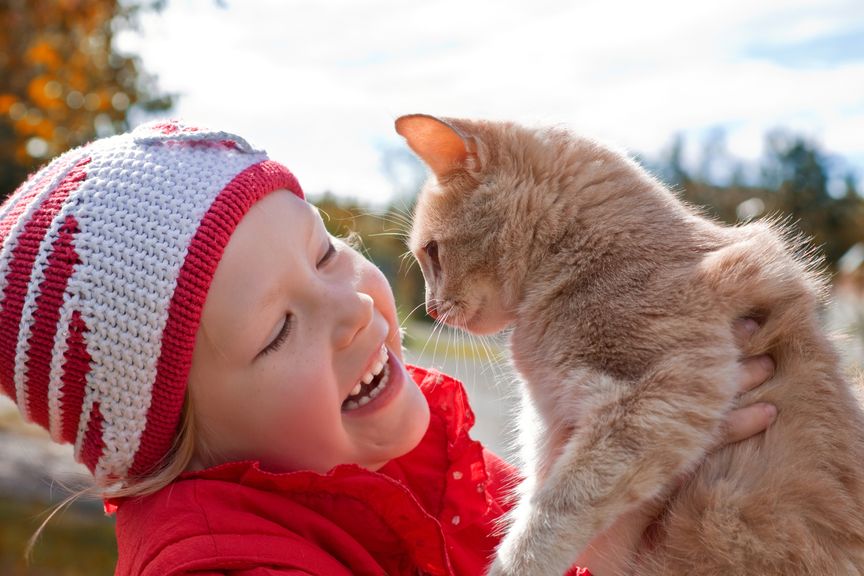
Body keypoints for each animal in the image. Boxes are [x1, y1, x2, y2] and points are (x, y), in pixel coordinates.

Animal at [400, 113, 864, 576]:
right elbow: (532, 503)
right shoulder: (553, 430)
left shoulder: (656, 399)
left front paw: (511, 565)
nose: (431, 308)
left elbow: (550, 515)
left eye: (433, 252)